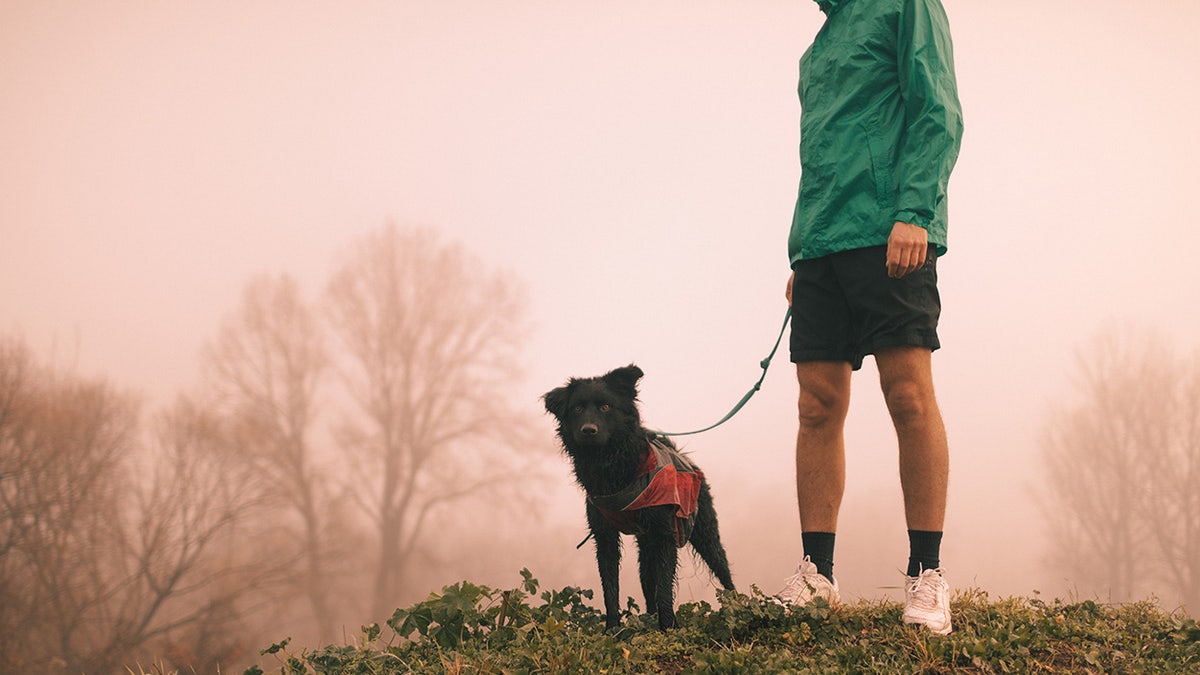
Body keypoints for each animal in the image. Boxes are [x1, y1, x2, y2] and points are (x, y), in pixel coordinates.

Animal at [544, 362, 729, 624]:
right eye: (577, 408)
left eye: (605, 406)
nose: (588, 430)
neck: (612, 464)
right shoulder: (605, 535)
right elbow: (610, 587)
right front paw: (612, 628)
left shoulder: (664, 534)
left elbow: (665, 589)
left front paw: (668, 627)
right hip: (646, 547)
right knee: (648, 585)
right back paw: (648, 619)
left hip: (705, 533)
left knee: (723, 571)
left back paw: (739, 605)